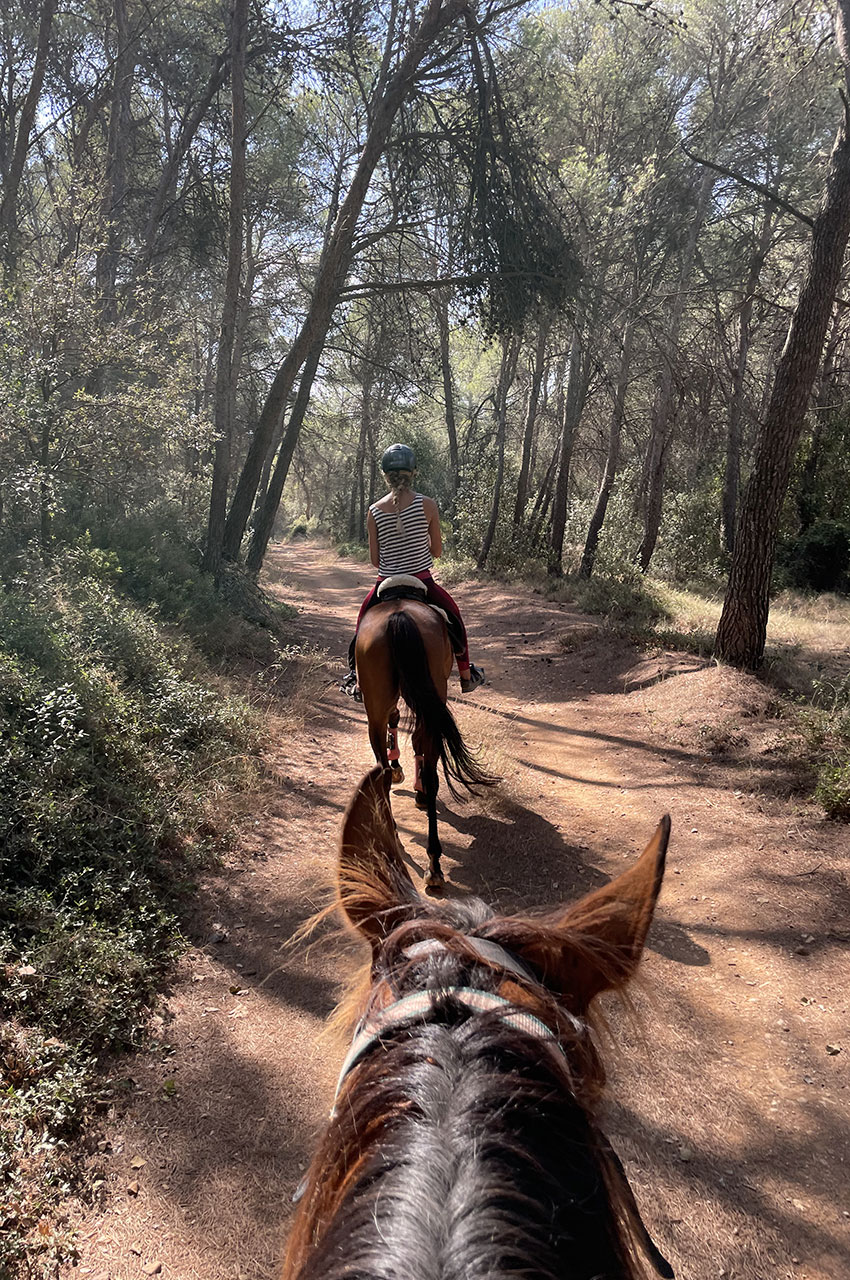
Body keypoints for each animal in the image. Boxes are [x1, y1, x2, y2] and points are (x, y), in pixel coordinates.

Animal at [355, 591, 491, 885]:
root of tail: (398, 616)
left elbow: (401, 727)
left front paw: (401, 770)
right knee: (425, 764)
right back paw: (433, 862)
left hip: (379, 704)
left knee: (384, 768)